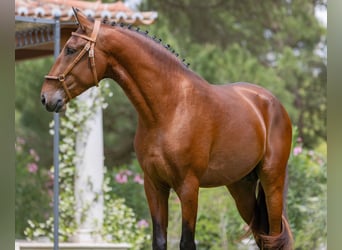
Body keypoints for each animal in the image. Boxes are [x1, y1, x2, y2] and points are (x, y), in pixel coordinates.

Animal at [40, 8, 292, 250]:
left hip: (272, 181)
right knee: (262, 237)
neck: (169, 110)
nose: (46, 97)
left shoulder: (188, 187)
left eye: (70, 49)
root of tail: (271, 103)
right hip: (241, 187)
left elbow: (187, 242)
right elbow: (159, 239)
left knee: (275, 237)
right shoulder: (154, 185)